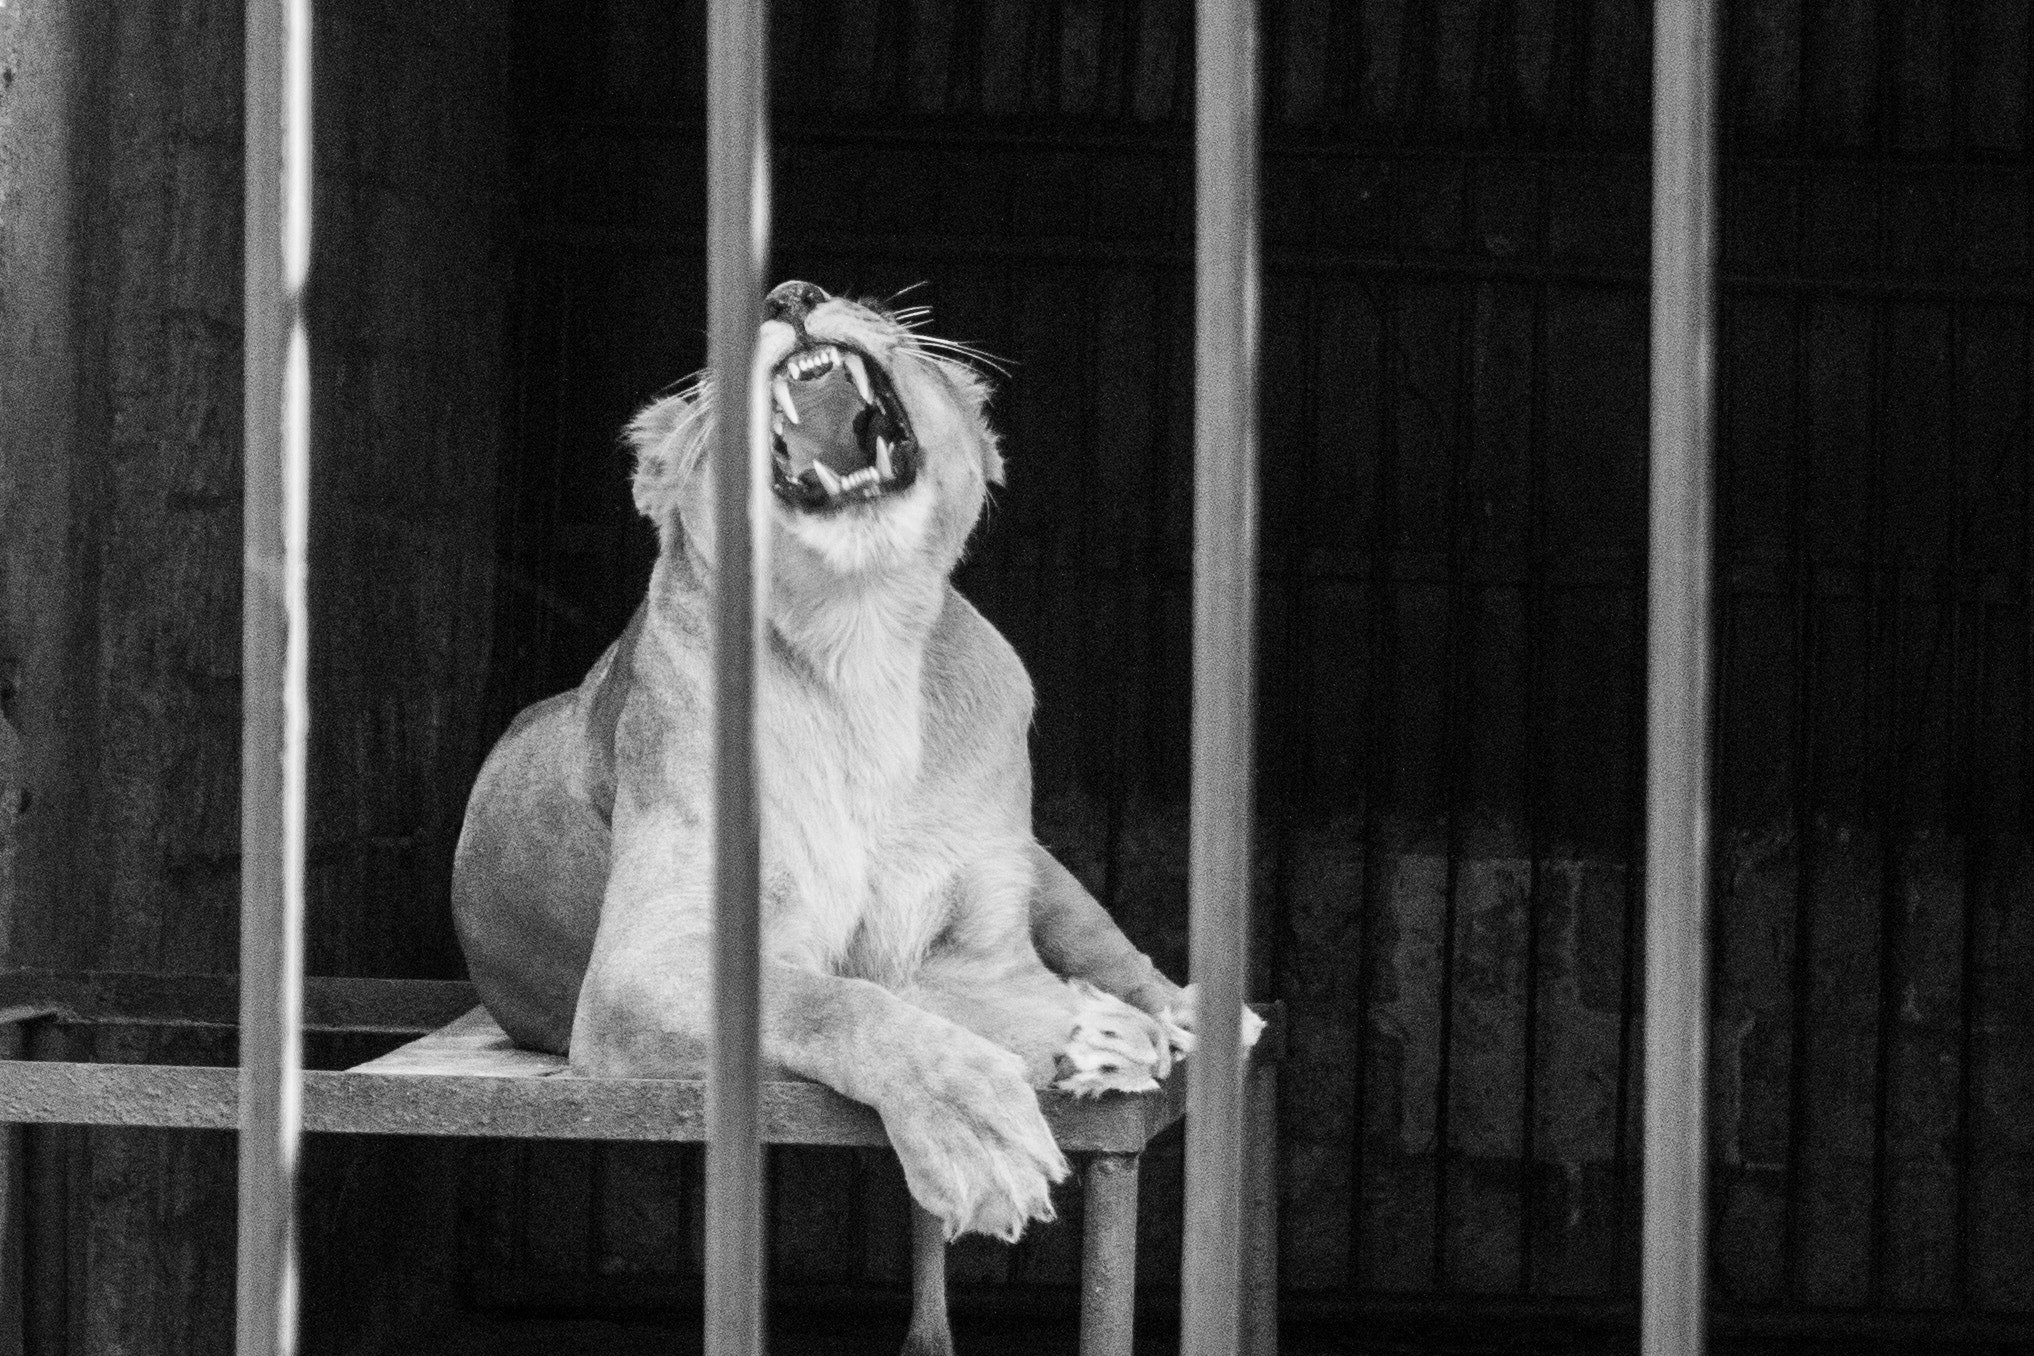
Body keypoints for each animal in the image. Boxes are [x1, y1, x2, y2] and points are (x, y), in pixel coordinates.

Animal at [451, 282, 1219, 1305]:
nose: (792, 294)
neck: (861, 650)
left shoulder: (975, 947)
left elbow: (963, 988)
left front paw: (1100, 1035)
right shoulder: (634, 975)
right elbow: (837, 1002)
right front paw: (984, 1130)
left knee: (1112, 949)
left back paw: (1183, 1013)